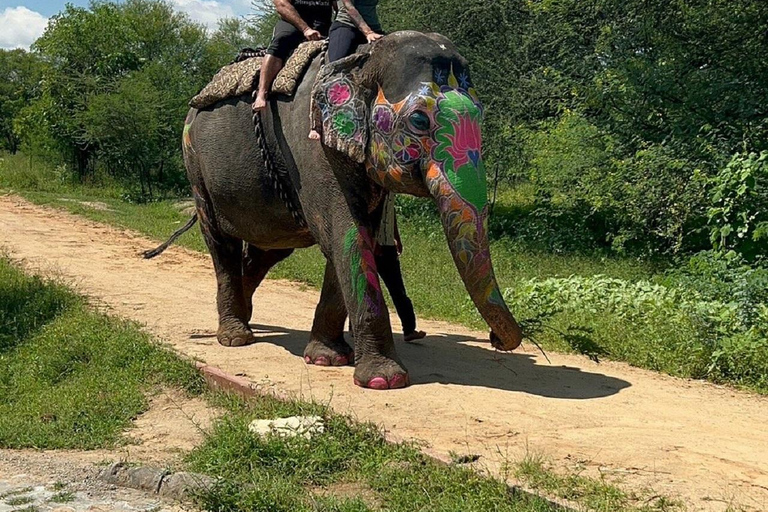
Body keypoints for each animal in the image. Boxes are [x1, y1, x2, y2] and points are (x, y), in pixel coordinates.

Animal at [147, 31, 524, 390]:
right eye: (419, 120)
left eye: (482, 116)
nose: (494, 339)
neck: (361, 60)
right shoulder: (311, 146)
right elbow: (346, 234)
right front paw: (383, 380)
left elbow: (354, 239)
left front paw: (328, 358)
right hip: (195, 164)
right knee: (221, 243)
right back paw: (236, 336)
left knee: (267, 251)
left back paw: (247, 315)